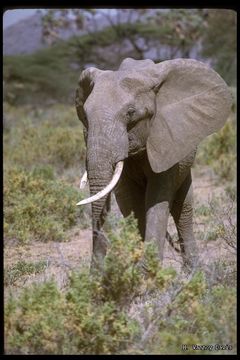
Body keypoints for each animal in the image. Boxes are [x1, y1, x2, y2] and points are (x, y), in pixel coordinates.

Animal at [75, 57, 232, 270]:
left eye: (131, 112)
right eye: (85, 116)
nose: (93, 274)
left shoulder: (168, 144)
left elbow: (157, 199)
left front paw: (146, 273)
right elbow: (134, 204)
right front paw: (140, 271)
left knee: (183, 207)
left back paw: (193, 270)